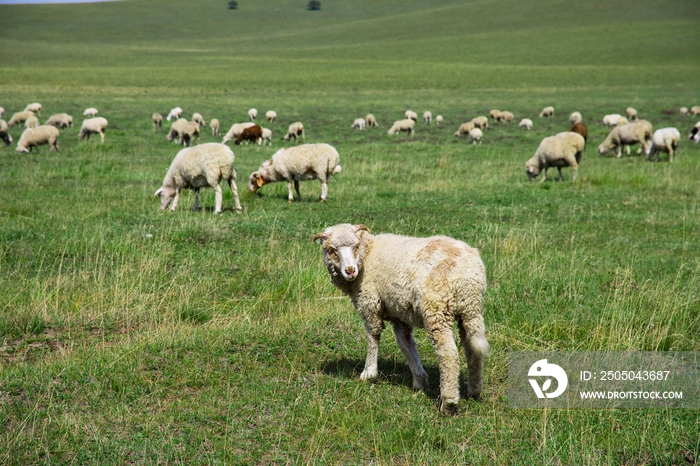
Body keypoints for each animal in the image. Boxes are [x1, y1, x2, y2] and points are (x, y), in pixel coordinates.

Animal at [314, 223, 490, 416]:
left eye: (355, 246)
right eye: (332, 250)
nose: (350, 271)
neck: (367, 254)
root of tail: (468, 276)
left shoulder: (369, 303)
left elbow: (373, 337)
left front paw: (369, 373)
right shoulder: (398, 313)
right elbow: (405, 344)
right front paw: (420, 380)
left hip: (437, 311)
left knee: (449, 356)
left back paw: (448, 403)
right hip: (469, 312)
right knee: (472, 351)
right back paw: (473, 391)